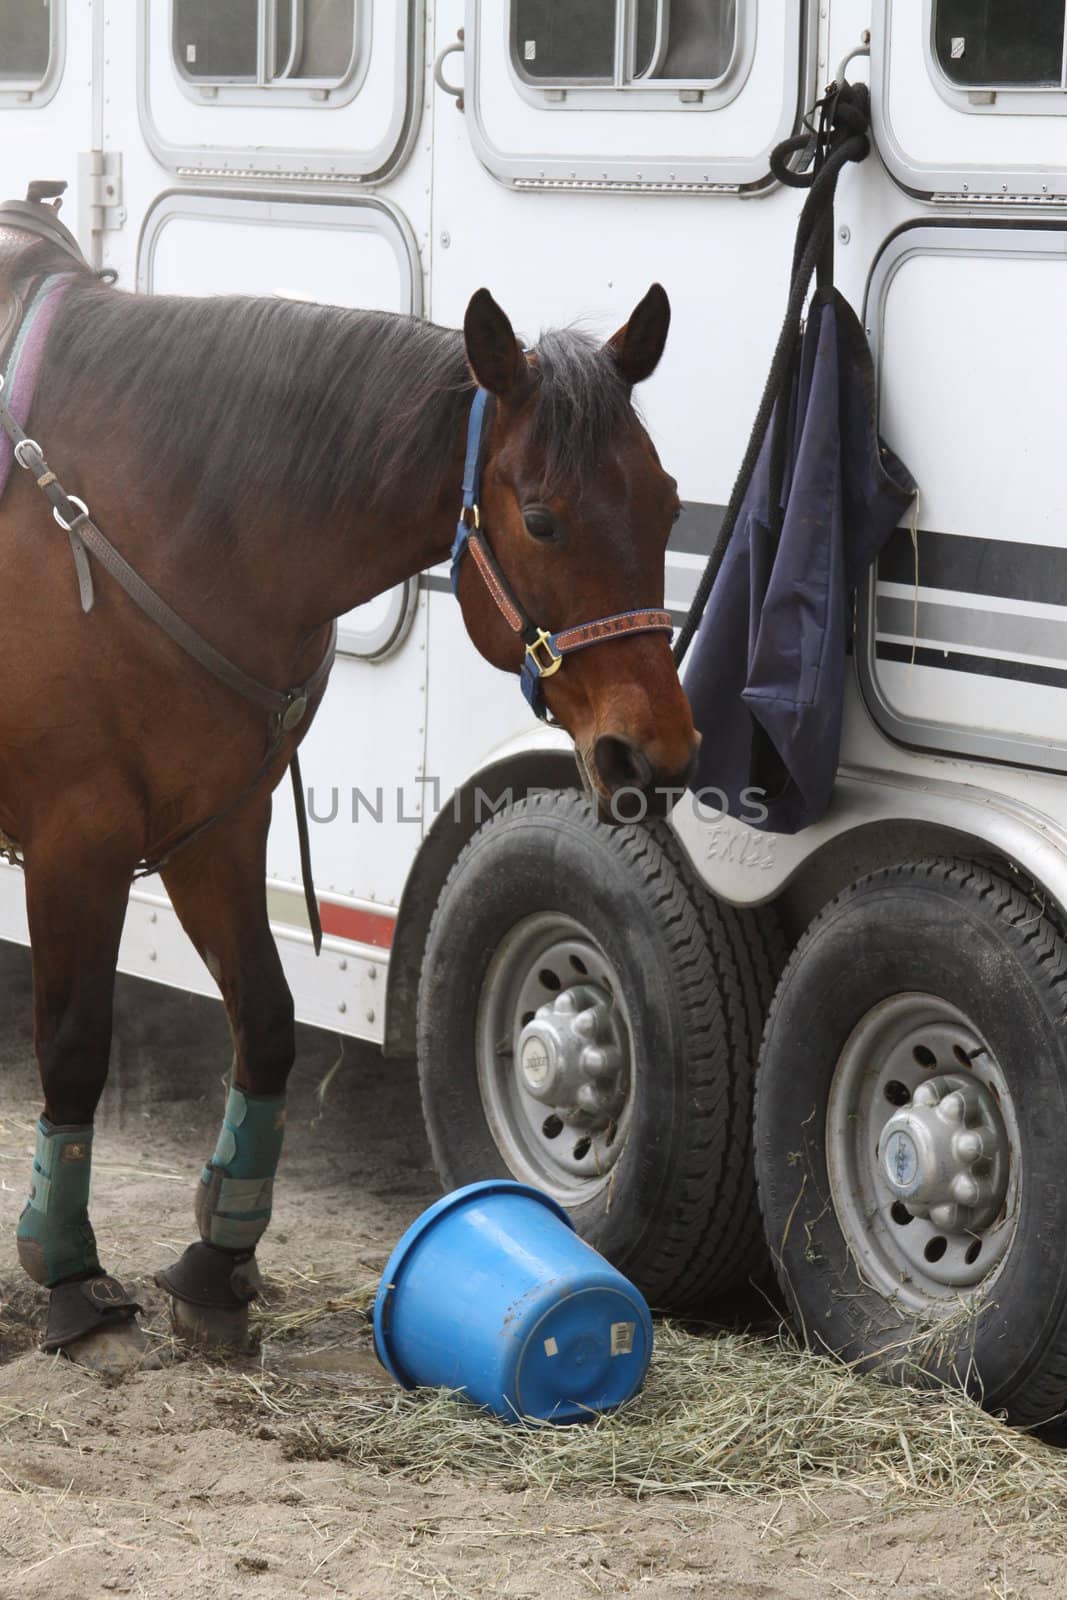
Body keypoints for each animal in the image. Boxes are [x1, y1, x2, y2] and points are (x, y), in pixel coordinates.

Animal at [0, 225, 697, 1376]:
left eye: (671, 502)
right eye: (541, 519)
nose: (653, 752)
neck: (162, 508)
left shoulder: (216, 831)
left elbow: (267, 1022)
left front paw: (218, 1260)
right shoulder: (75, 838)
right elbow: (71, 1046)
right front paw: (68, 1277)